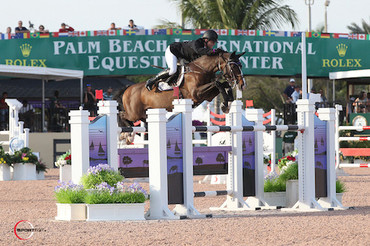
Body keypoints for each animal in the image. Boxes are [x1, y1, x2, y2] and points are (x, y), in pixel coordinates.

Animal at [117, 51, 246, 128]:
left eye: (241, 65)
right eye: (233, 66)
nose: (242, 84)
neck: (201, 70)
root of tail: (127, 90)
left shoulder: (207, 96)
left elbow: (223, 85)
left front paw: (228, 102)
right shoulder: (196, 94)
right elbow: (218, 83)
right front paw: (225, 104)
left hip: (144, 113)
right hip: (134, 114)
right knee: (122, 115)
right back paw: (127, 128)